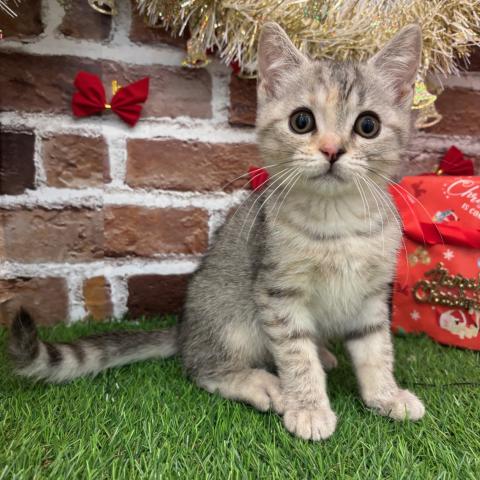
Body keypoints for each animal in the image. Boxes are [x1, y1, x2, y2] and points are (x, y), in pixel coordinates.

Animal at [8, 22, 425, 441]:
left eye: (367, 125)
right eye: (302, 121)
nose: (332, 150)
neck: (338, 220)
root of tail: (184, 330)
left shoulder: (372, 294)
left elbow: (376, 349)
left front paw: (386, 395)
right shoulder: (278, 293)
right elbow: (296, 355)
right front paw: (308, 407)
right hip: (232, 319)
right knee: (202, 368)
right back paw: (263, 383)